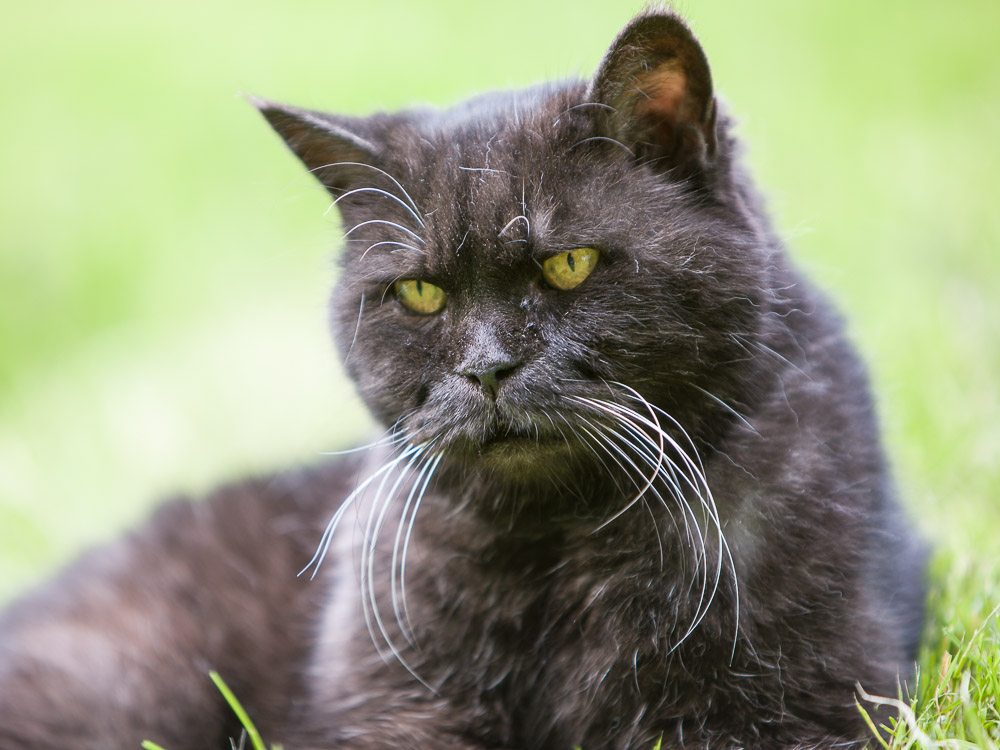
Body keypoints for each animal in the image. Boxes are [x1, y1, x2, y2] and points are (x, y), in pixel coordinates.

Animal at [0, 7, 928, 750]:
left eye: (569, 263)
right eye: (419, 292)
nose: (487, 368)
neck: (560, 550)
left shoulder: (795, 699)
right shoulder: (393, 706)